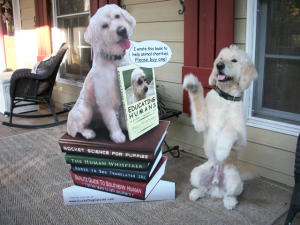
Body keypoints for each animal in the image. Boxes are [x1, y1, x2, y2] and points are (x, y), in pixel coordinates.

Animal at [67, 3, 137, 142]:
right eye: (104, 25)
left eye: (117, 16)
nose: (122, 30)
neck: (115, 61)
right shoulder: (106, 99)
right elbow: (112, 120)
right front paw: (117, 135)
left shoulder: (121, 95)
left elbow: (122, 115)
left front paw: (126, 127)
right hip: (86, 109)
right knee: (80, 127)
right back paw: (88, 132)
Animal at [183, 44, 258, 210]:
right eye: (220, 58)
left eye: (234, 60)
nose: (219, 66)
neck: (226, 97)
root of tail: (216, 187)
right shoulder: (201, 123)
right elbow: (197, 102)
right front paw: (193, 85)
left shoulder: (241, 139)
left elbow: (229, 129)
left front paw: (221, 151)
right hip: (196, 173)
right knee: (203, 188)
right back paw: (195, 193)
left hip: (235, 181)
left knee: (230, 194)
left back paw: (230, 202)